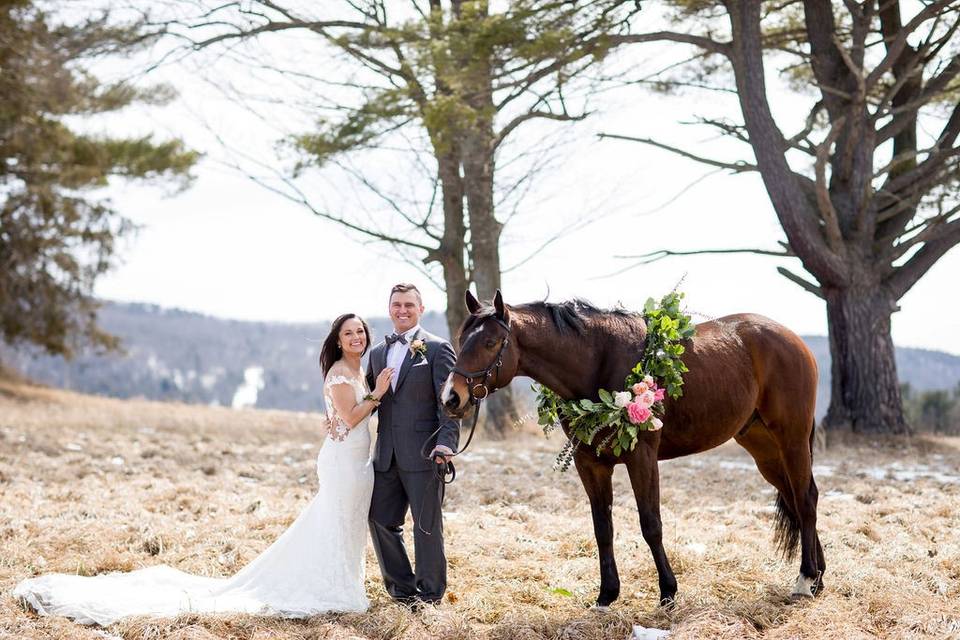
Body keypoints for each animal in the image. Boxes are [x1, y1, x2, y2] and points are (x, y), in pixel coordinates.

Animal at [442, 292, 824, 608]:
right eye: (461, 339)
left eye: (491, 341)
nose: (452, 397)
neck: (598, 361)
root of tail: (794, 340)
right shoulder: (590, 463)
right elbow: (603, 527)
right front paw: (606, 595)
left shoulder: (642, 458)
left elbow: (650, 523)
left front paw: (668, 592)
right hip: (764, 449)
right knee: (798, 497)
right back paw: (817, 577)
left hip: (791, 439)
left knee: (805, 500)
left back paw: (804, 580)